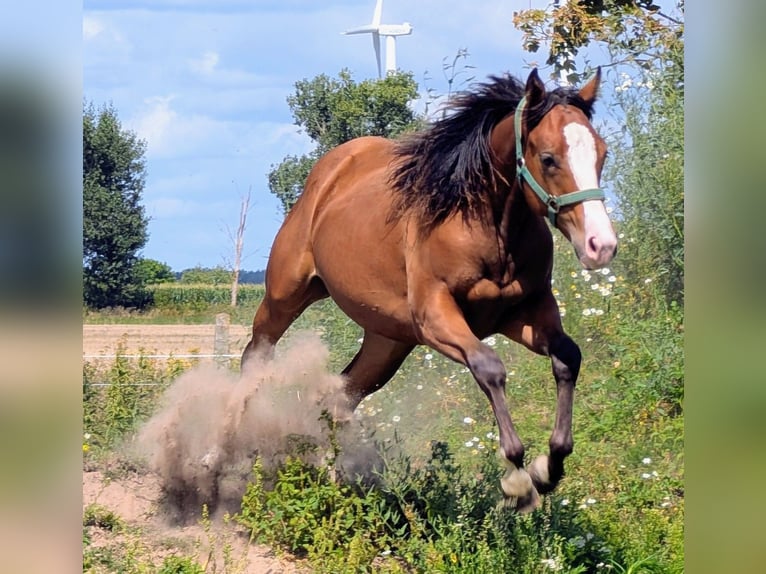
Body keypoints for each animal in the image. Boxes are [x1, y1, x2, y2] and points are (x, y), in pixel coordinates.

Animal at [244, 68, 616, 512]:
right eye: (548, 158)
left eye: (602, 153)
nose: (601, 245)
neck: (487, 227)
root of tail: (328, 173)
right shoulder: (435, 317)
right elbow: (489, 367)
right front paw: (518, 480)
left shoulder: (524, 313)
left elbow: (568, 358)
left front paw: (547, 468)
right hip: (286, 296)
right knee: (256, 355)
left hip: (387, 342)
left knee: (341, 395)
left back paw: (332, 479)